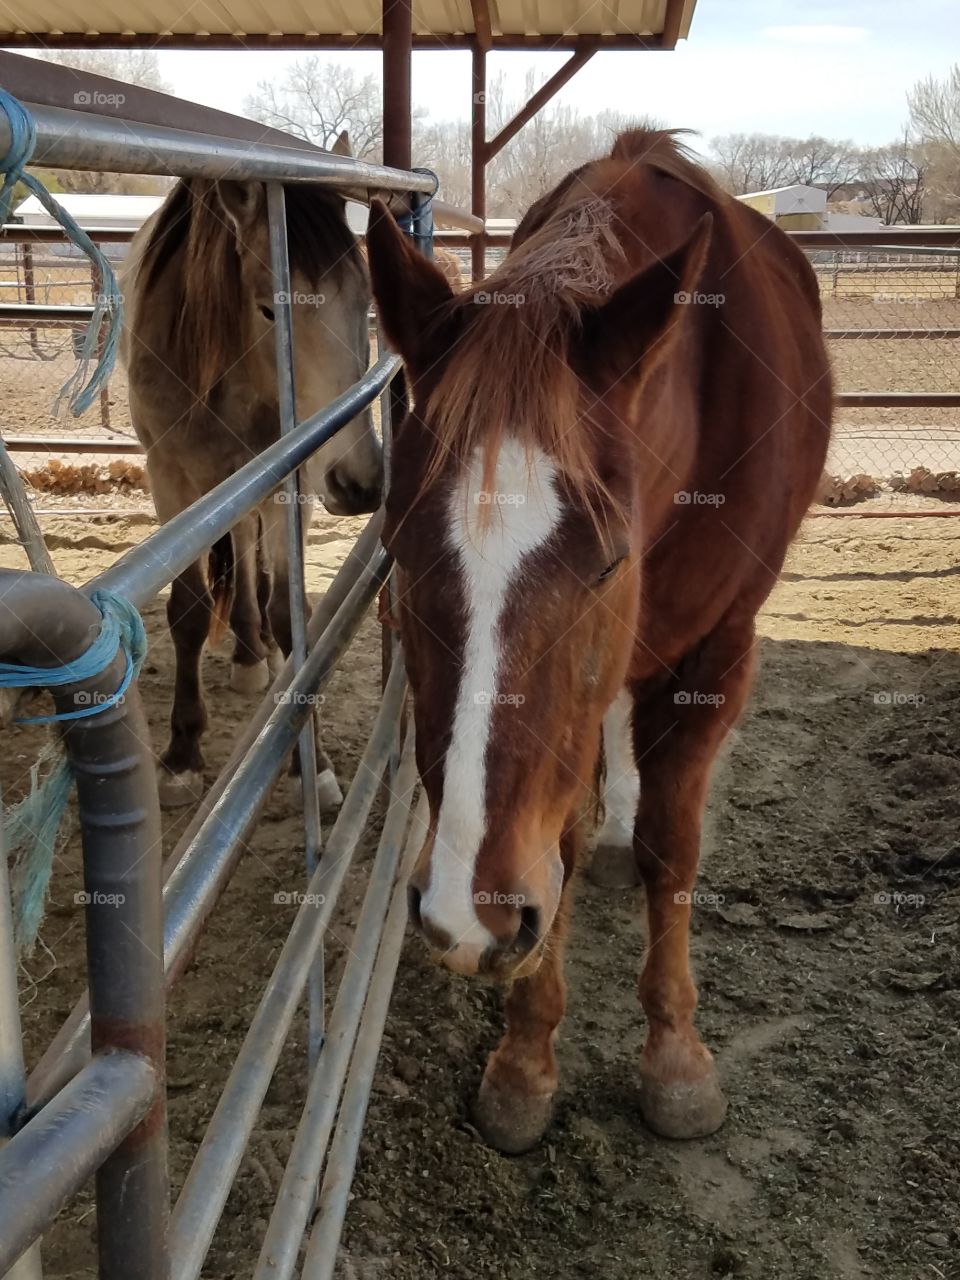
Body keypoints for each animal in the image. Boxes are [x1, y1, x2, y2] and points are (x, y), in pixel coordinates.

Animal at [121, 138, 382, 809]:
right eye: (269, 309)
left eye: (365, 301)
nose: (362, 482)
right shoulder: (172, 482)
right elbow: (187, 614)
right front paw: (182, 754)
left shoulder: (294, 481)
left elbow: (290, 612)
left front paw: (311, 762)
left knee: (249, 557)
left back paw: (250, 646)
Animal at [365, 129, 831, 1154]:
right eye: (397, 552)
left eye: (610, 564)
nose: (468, 915)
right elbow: (565, 841)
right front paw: (525, 1060)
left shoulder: (718, 656)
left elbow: (672, 844)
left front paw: (676, 1056)